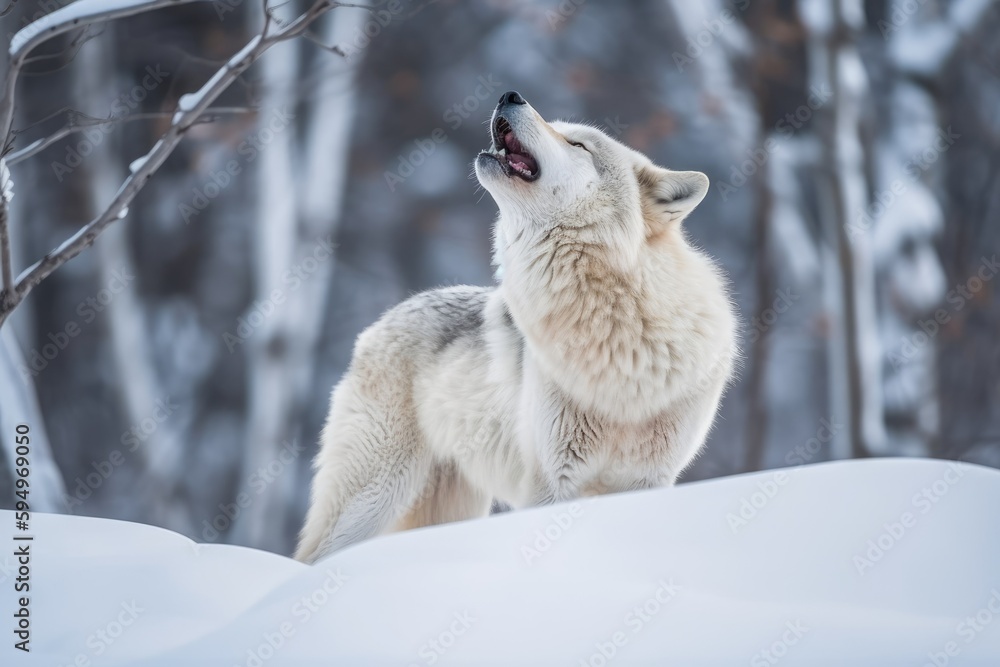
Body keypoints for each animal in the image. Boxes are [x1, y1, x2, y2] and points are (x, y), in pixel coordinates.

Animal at [295, 91, 737, 563]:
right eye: (558, 129)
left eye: (578, 145)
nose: (510, 95)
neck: (620, 331)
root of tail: (387, 317)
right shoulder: (552, 481)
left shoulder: (648, 482)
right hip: (374, 495)